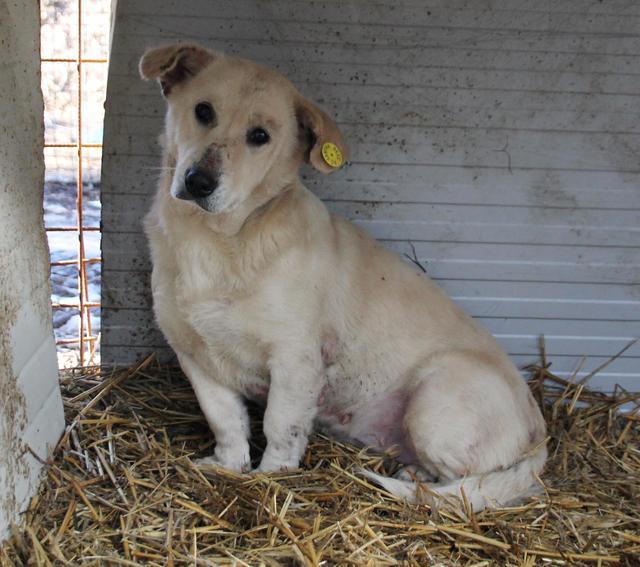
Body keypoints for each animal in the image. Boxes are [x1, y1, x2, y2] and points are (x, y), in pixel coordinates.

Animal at [139, 44, 544, 510]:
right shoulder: (195, 356)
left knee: (467, 482)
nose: (198, 181)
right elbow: (225, 421)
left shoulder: (296, 359)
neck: (218, 242)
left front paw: (272, 477)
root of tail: (539, 431)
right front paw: (228, 466)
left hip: (434, 402)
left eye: (260, 136)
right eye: (203, 111)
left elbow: (281, 426)